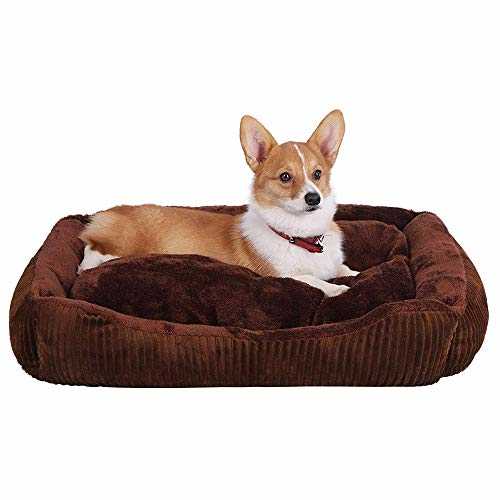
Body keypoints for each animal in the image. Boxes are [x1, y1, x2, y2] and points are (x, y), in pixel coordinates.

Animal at [78, 110, 358, 296]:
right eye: (285, 177)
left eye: (317, 174)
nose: (314, 198)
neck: (299, 236)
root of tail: (108, 211)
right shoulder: (282, 275)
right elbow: (312, 280)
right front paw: (338, 289)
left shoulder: (333, 263)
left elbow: (345, 269)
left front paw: (354, 276)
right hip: (123, 244)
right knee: (91, 250)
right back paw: (88, 267)